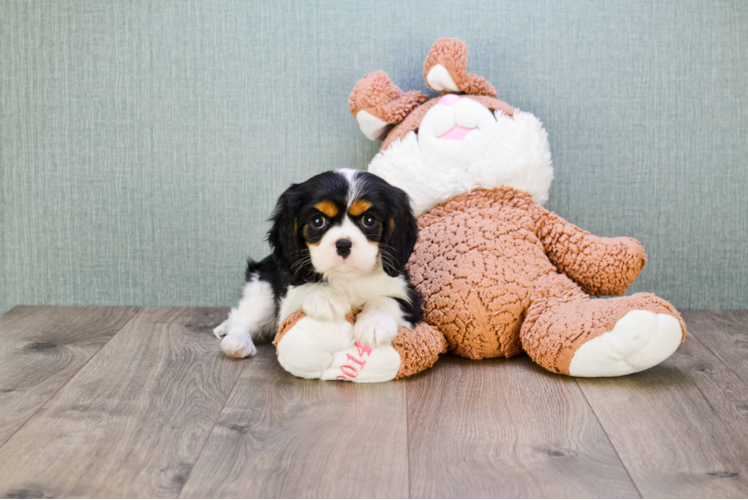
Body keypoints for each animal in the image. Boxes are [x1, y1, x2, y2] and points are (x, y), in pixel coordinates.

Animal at [213, 170, 424, 358]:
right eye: (317, 221)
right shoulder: (287, 307)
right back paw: (236, 342)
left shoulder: (410, 298)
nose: (343, 244)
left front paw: (373, 324)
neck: (347, 277)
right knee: (243, 318)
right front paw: (326, 297)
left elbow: (387, 299)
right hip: (262, 286)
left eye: (369, 220)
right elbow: (305, 287)